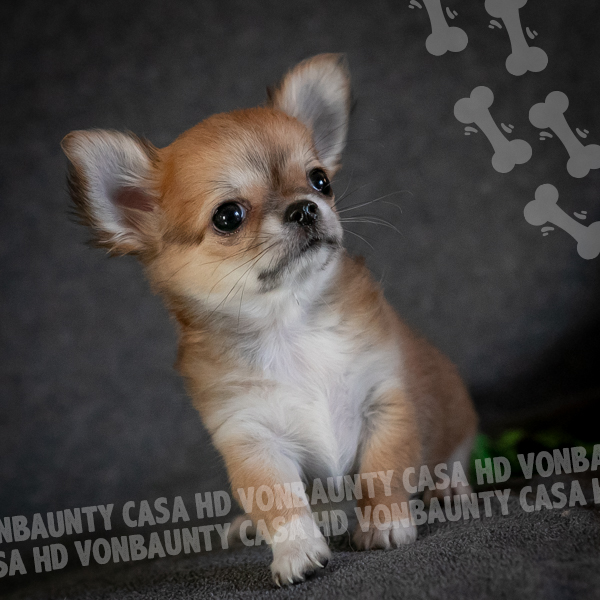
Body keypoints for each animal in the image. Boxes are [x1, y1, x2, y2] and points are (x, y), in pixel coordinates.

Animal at [62, 53, 477, 586]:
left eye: (320, 180)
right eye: (228, 216)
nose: (305, 208)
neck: (290, 325)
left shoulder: (385, 401)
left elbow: (382, 471)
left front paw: (385, 524)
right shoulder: (251, 437)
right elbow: (277, 501)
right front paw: (296, 550)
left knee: (452, 460)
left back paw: (446, 489)